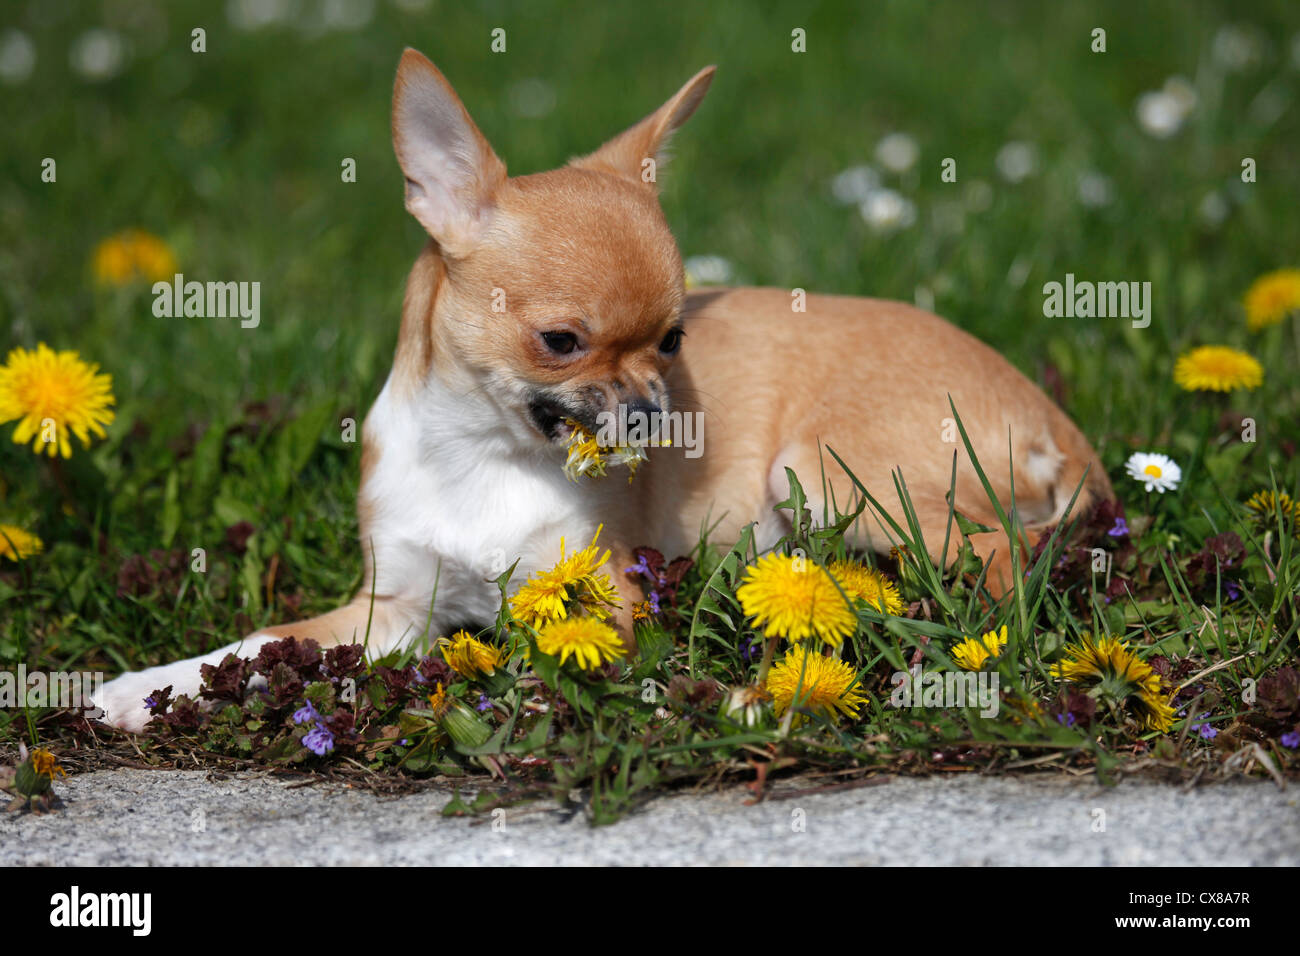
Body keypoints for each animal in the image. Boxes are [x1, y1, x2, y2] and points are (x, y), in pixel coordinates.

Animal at [94, 48, 1107, 728]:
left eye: (672, 340)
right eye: (561, 343)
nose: (660, 415)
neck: (483, 456)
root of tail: (1068, 431)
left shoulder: (602, 599)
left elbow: (538, 667)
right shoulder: (389, 612)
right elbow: (271, 642)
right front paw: (147, 686)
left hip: (822, 471)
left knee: (999, 558)